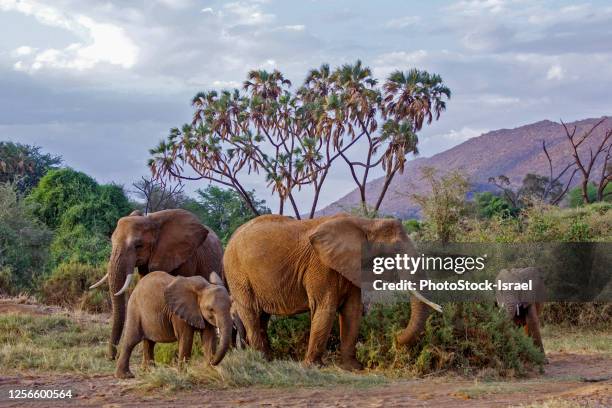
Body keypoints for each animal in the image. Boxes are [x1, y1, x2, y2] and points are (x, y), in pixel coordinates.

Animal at [224, 214, 440, 370]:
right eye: (394, 250)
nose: (395, 337)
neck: (366, 224)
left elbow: (352, 311)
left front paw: (354, 368)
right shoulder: (320, 266)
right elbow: (325, 309)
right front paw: (313, 367)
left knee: (263, 316)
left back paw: (269, 359)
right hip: (236, 273)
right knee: (251, 312)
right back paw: (262, 360)